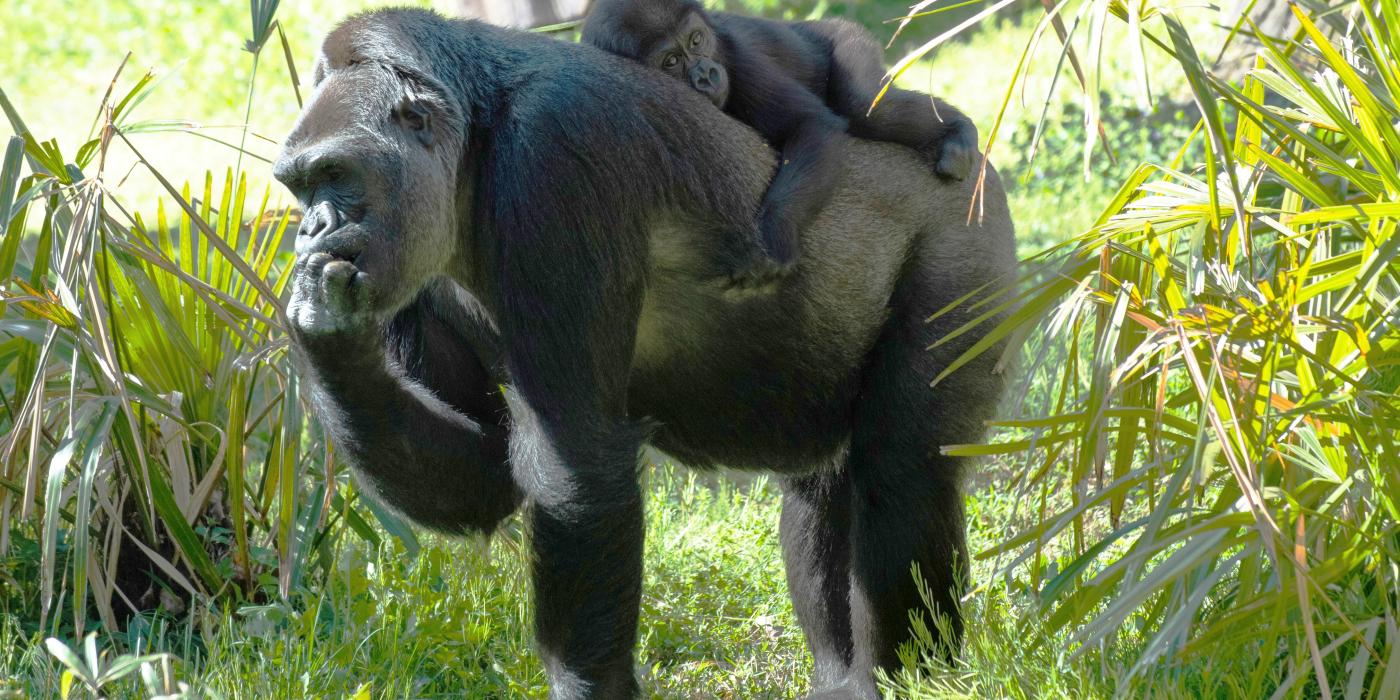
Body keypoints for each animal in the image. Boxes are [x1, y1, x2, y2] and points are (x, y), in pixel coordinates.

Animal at [585, 0, 980, 289]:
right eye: (670, 61)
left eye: (696, 40)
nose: (706, 75)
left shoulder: (739, 59)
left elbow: (810, 124)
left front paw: (775, 237)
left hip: (846, 38)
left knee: (864, 103)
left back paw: (958, 132)